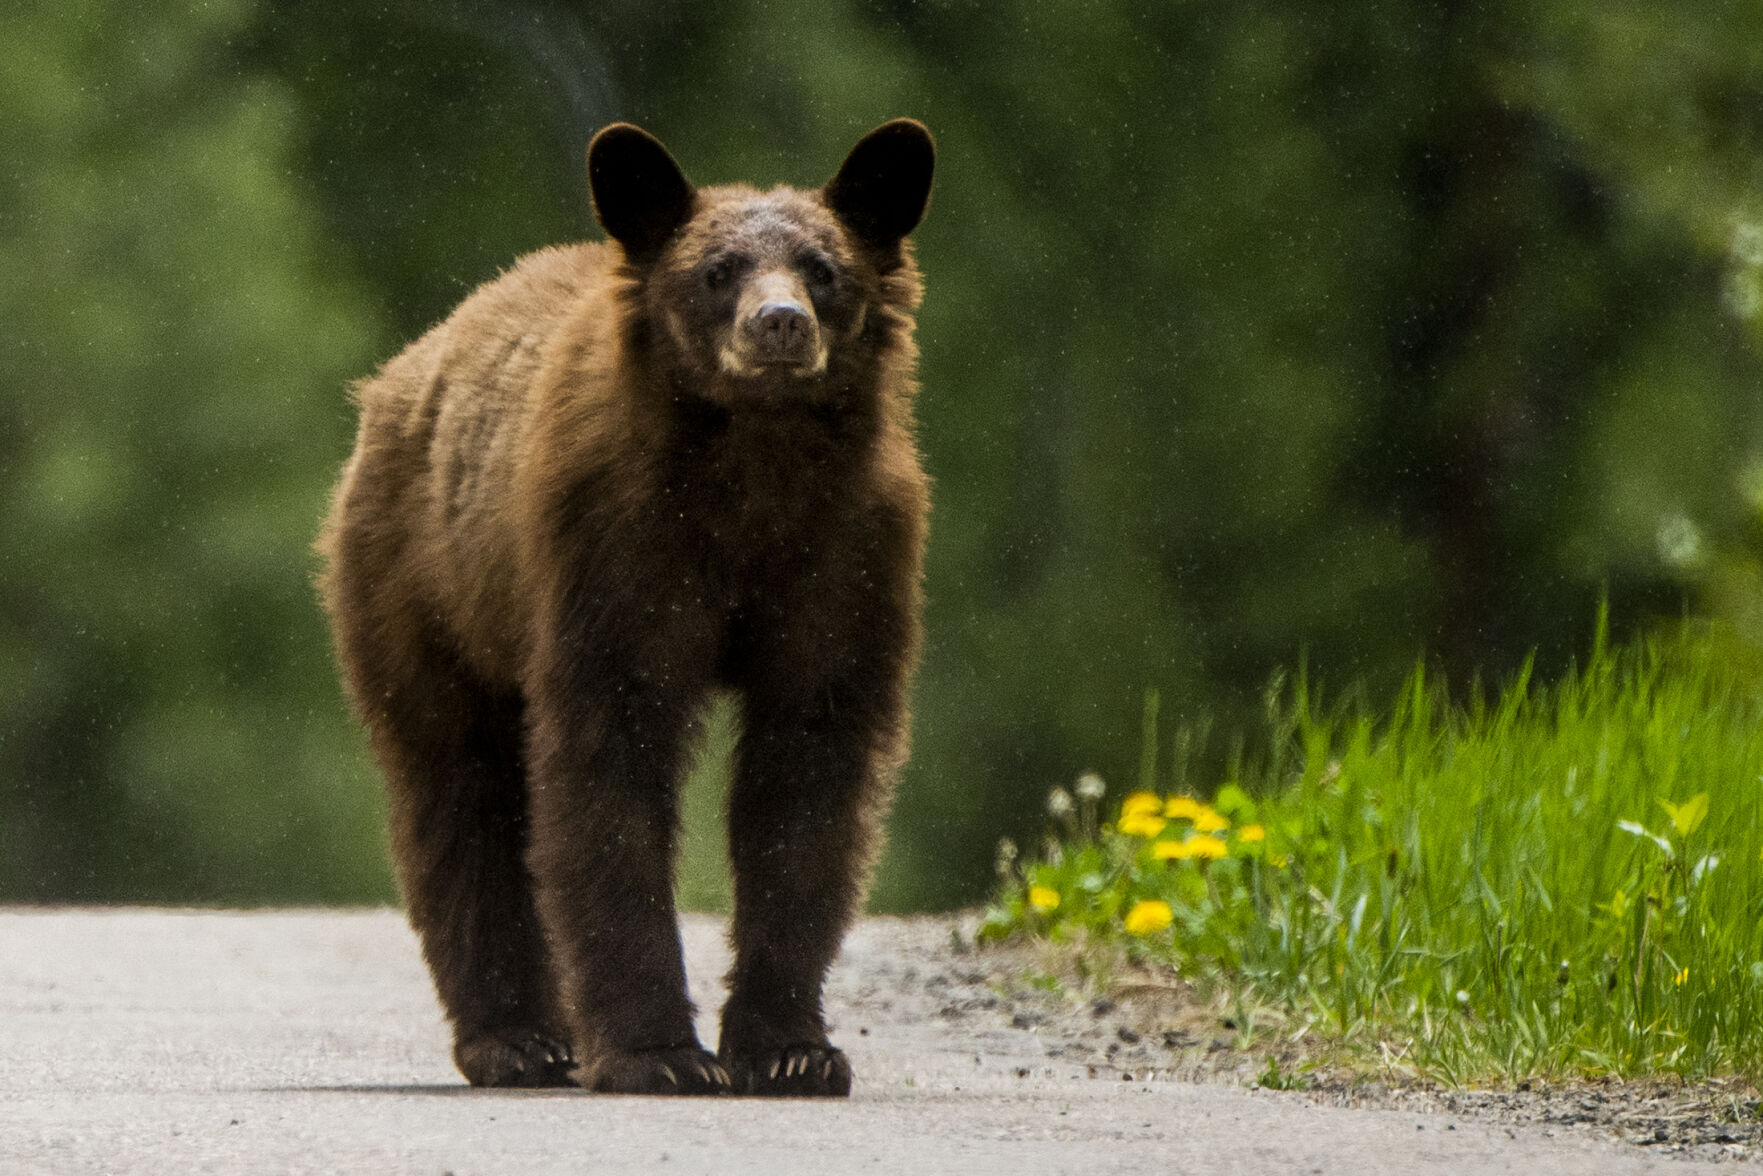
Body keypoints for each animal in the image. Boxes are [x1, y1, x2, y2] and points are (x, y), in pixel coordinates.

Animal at [315, 119, 934, 1097]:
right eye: (716, 269)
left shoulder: (846, 555)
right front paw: (661, 1054)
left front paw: (793, 1049)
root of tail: (401, 373)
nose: (779, 324)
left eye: (824, 268)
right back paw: (517, 1039)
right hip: (423, 590)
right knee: (457, 789)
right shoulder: (616, 550)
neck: (753, 469)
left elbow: (808, 777)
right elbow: (610, 768)